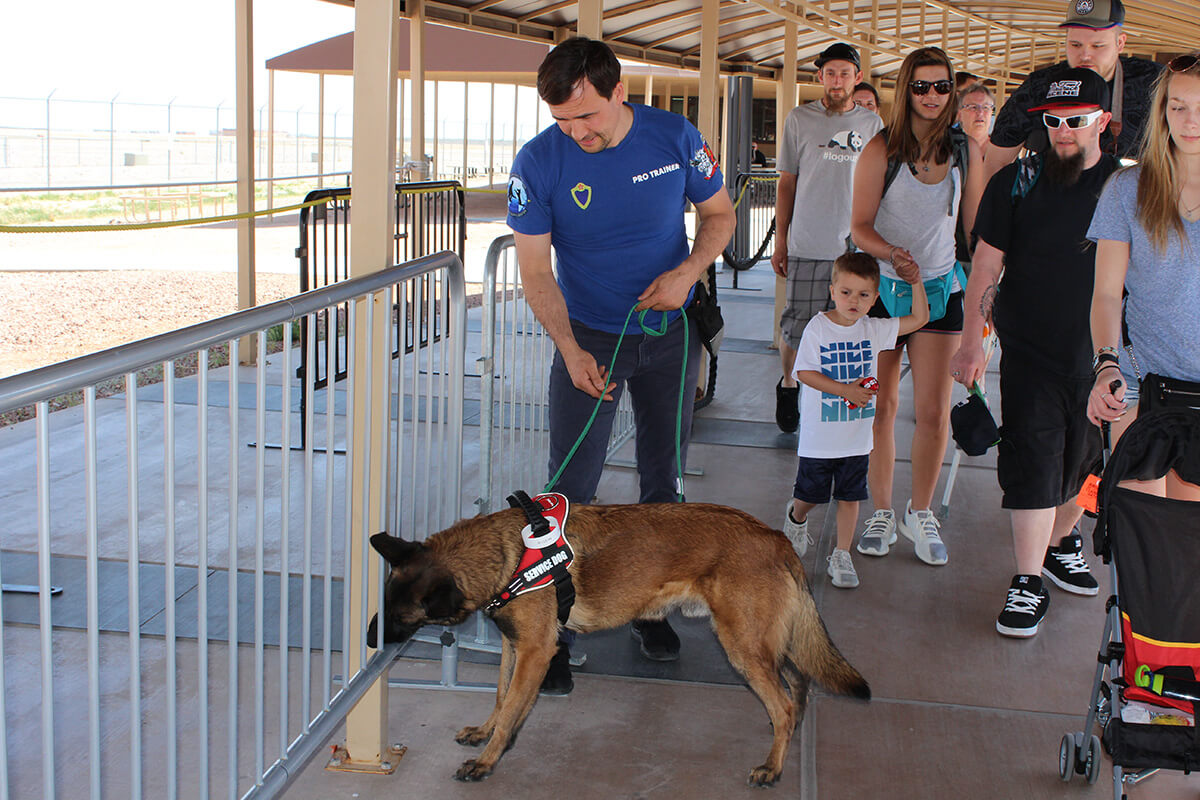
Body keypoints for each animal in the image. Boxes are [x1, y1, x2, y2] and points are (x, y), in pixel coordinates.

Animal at [360, 501, 868, 786]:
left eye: (398, 618)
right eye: (383, 604)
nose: (367, 640)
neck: (507, 554)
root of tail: (776, 537)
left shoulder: (535, 652)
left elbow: (509, 711)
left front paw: (487, 761)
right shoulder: (513, 646)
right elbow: (502, 697)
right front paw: (486, 734)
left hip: (741, 644)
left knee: (783, 702)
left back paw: (773, 768)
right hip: (765, 642)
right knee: (797, 685)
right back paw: (785, 739)